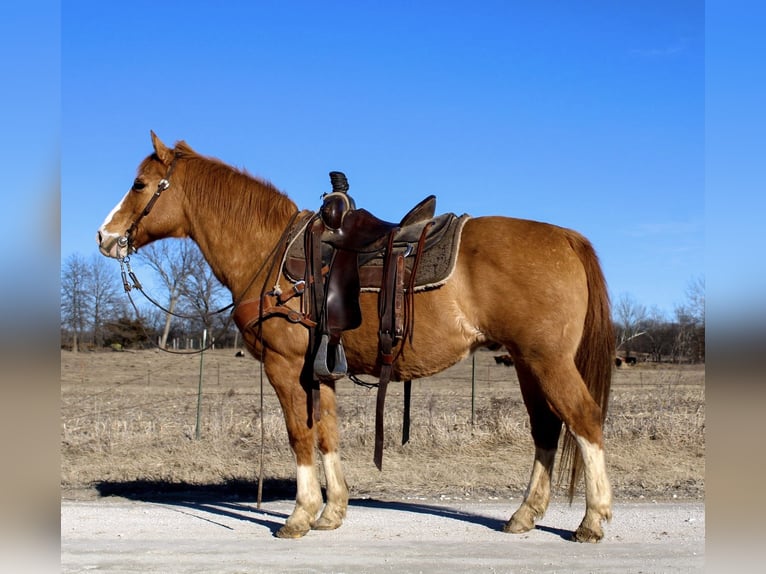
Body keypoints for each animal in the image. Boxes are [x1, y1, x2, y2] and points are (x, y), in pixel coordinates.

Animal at [96, 132, 616, 544]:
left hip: (547, 361)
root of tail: (567, 238)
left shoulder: (285, 366)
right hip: (528, 363)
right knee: (546, 428)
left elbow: (299, 435)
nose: (104, 236)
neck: (271, 252)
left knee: (585, 420)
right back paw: (524, 515)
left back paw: (591, 521)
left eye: (140, 185)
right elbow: (327, 434)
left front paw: (299, 516)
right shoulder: (320, 371)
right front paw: (332, 512)